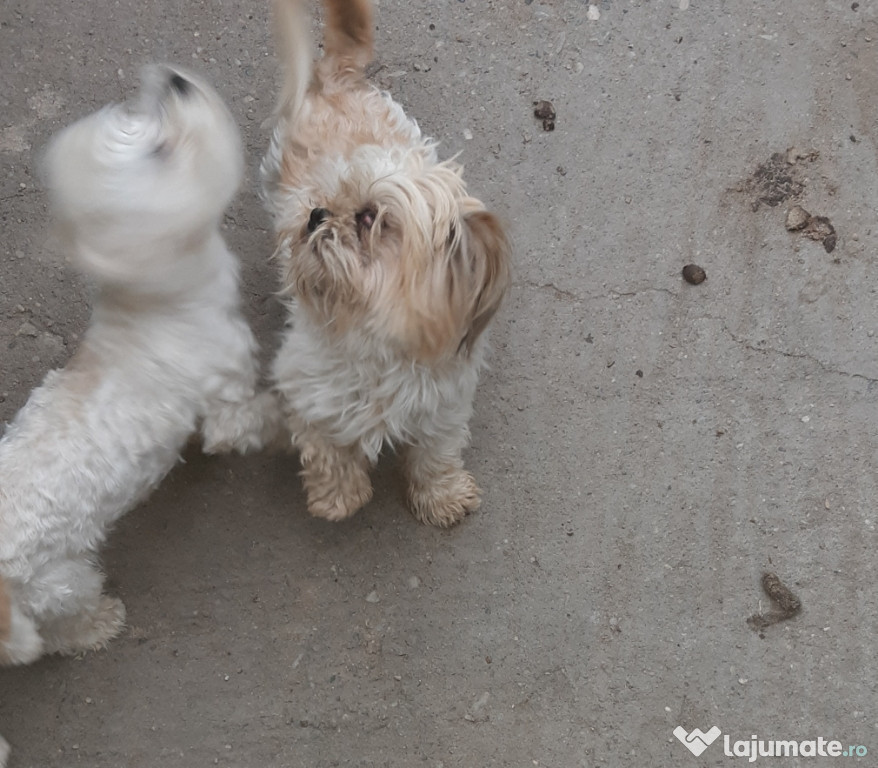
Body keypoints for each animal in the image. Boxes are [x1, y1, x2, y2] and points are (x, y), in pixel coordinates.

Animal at [0, 66, 276, 736]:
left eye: (146, 116)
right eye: (162, 149)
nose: (174, 80)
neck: (158, 300)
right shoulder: (226, 395)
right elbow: (243, 422)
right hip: (59, 580)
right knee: (63, 624)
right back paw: (99, 624)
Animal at [258, 0, 512, 528]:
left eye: (369, 216)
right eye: (326, 200)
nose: (315, 215)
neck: (377, 343)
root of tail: (338, 79)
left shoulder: (443, 408)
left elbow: (436, 456)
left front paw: (441, 497)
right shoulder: (310, 398)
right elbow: (329, 454)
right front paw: (340, 498)